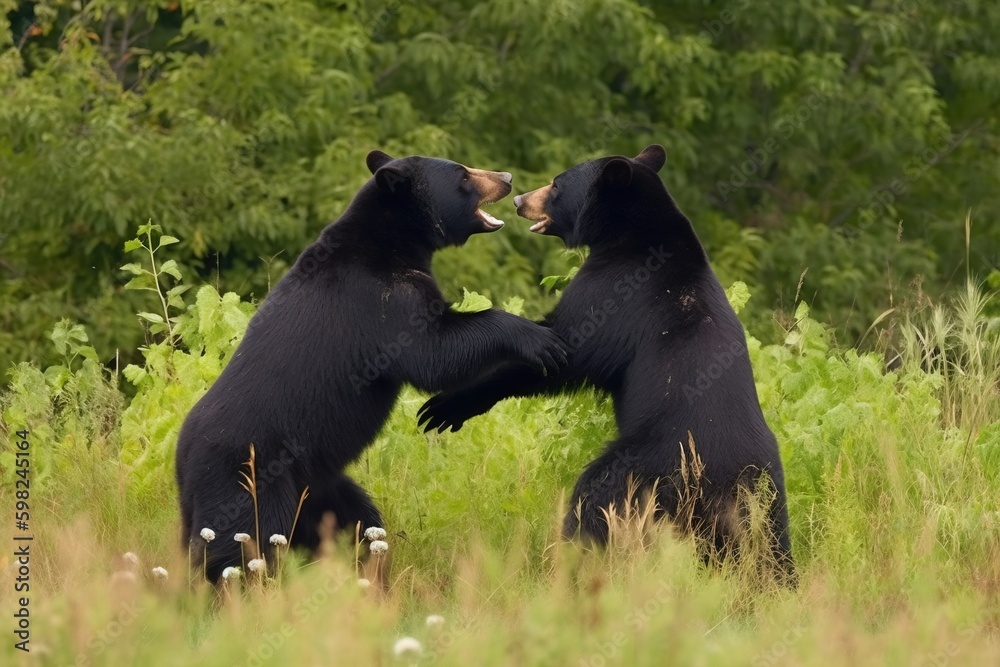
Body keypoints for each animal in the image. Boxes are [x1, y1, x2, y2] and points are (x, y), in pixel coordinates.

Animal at [179, 150, 568, 580]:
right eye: (463, 174)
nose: (506, 177)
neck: (393, 241)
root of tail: (183, 463)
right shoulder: (382, 300)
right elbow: (434, 351)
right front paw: (538, 338)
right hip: (249, 479)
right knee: (242, 548)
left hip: (318, 488)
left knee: (358, 522)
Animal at [418, 145, 792, 580]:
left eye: (557, 185)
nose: (519, 199)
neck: (631, 232)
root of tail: (722, 475)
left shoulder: (616, 290)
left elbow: (566, 348)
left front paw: (447, 405)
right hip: (764, 494)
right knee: (767, 545)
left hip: (652, 461)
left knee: (596, 499)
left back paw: (572, 556)